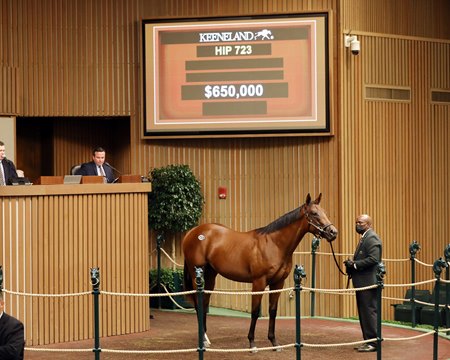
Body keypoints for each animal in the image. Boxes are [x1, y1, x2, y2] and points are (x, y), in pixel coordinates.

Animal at [183, 194, 338, 352]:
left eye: (324, 212)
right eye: (314, 213)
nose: (333, 232)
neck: (274, 244)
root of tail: (192, 232)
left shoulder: (278, 283)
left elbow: (273, 311)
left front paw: (274, 342)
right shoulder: (259, 282)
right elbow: (255, 311)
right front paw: (252, 343)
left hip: (210, 276)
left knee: (204, 303)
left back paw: (205, 339)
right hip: (197, 276)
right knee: (198, 304)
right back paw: (202, 340)